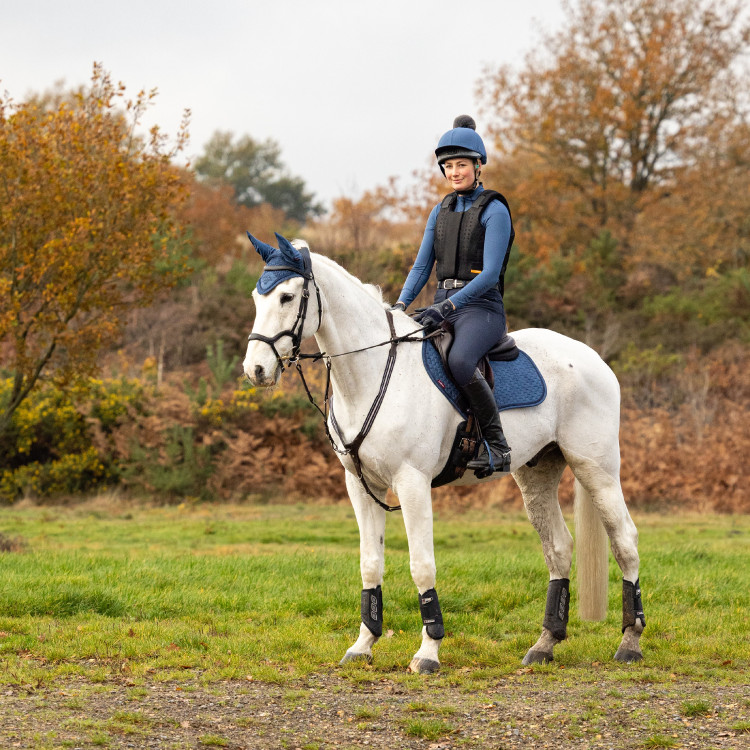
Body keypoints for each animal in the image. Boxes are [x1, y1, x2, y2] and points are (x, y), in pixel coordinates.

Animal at [245, 235, 648, 676]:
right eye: (257, 297)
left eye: (286, 297)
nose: (256, 370)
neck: (373, 371)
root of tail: (593, 358)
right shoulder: (361, 485)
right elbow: (370, 563)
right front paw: (363, 644)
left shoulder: (412, 482)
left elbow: (422, 565)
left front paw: (428, 650)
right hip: (537, 474)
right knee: (558, 548)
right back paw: (545, 644)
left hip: (597, 469)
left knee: (624, 540)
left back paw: (630, 641)